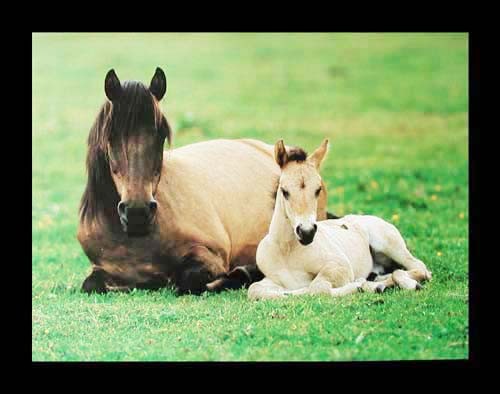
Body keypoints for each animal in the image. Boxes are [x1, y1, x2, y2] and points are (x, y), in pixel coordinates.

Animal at [77, 68, 332, 296]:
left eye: (161, 135)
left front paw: (241, 274)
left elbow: (188, 281)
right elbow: (91, 284)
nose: (137, 212)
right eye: (111, 136)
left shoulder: (210, 255)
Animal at [248, 139, 432, 298]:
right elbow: (255, 290)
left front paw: (357, 286)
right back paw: (378, 284)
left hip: (390, 246)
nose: (307, 233)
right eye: (284, 191)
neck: (287, 250)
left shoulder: (339, 266)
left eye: (318, 190)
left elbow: (317, 287)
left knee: (418, 268)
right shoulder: (272, 280)